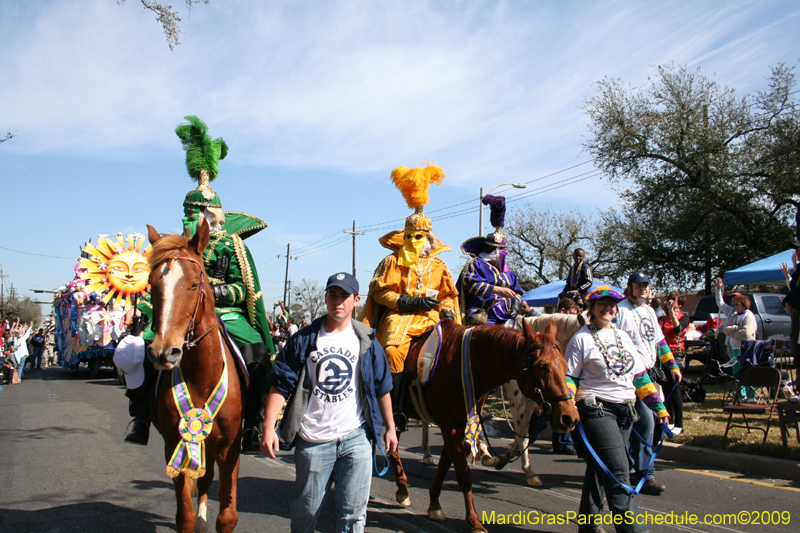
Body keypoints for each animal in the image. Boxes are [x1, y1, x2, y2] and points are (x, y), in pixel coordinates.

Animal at [144, 221, 244, 532]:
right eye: (153, 285)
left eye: (194, 283)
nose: (164, 352)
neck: (202, 376)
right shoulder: (174, 444)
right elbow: (184, 516)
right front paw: (194, 518)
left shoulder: (229, 449)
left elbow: (227, 516)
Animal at [390, 318, 580, 528]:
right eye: (542, 366)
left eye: (565, 364)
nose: (569, 417)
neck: (463, 363)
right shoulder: (450, 424)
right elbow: (464, 473)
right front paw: (474, 521)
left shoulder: (459, 422)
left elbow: (445, 465)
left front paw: (434, 506)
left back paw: (405, 484)